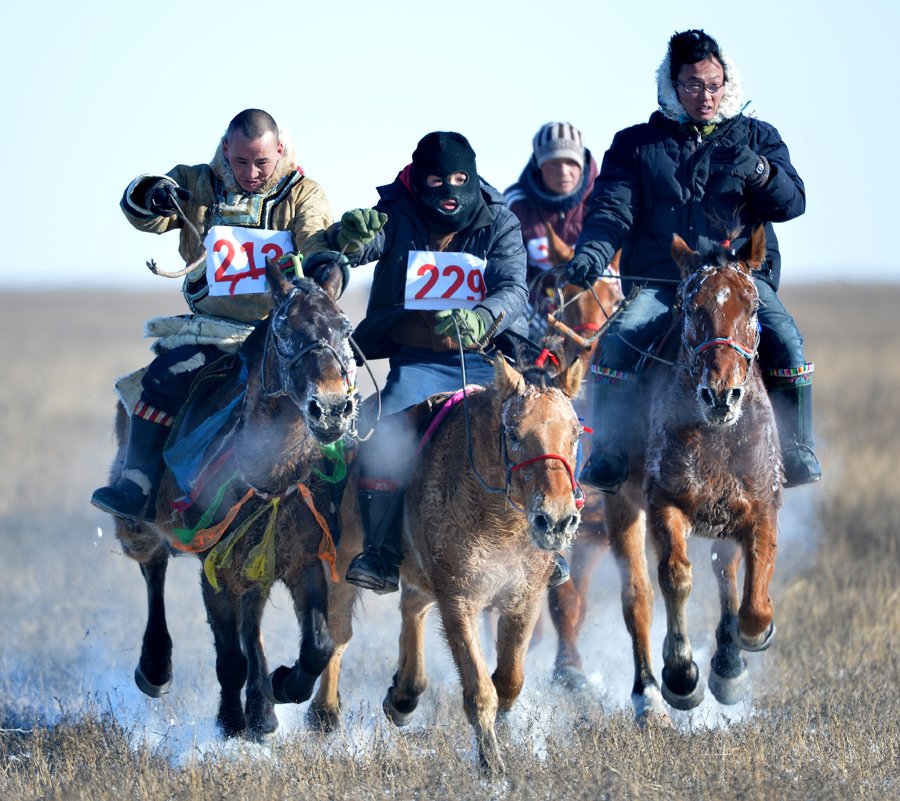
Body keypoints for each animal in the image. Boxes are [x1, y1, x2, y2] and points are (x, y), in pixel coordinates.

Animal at [105, 256, 358, 736]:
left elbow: (316, 645)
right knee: (154, 567)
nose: (332, 409)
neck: (270, 477)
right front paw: (229, 723)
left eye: (344, 327)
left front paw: (280, 687)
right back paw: (156, 668)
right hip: (139, 525)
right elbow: (229, 658)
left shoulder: (304, 558)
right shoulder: (215, 566)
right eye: (283, 328)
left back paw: (262, 709)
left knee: (252, 618)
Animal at [380, 340, 584, 772]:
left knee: (413, 606)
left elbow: (508, 683)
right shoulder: (459, 601)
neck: (498, 522)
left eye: (575, 433)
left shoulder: (524, 600)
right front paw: (491, 766)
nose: (556, 520)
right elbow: (479, 690)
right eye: (514, 432)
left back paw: (404, 694)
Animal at [604, 222, 780, 720]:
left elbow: (753, 603)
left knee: (726, 572)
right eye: (688, 304)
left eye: (752, 304)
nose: (720, 393)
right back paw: (647, 695)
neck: (716, 435)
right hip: (622, 507)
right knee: (638, 598)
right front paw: (682, 676)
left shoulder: (760, 507)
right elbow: (675, 577)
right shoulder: (667, 503)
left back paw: (728, 665)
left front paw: (736, 660)